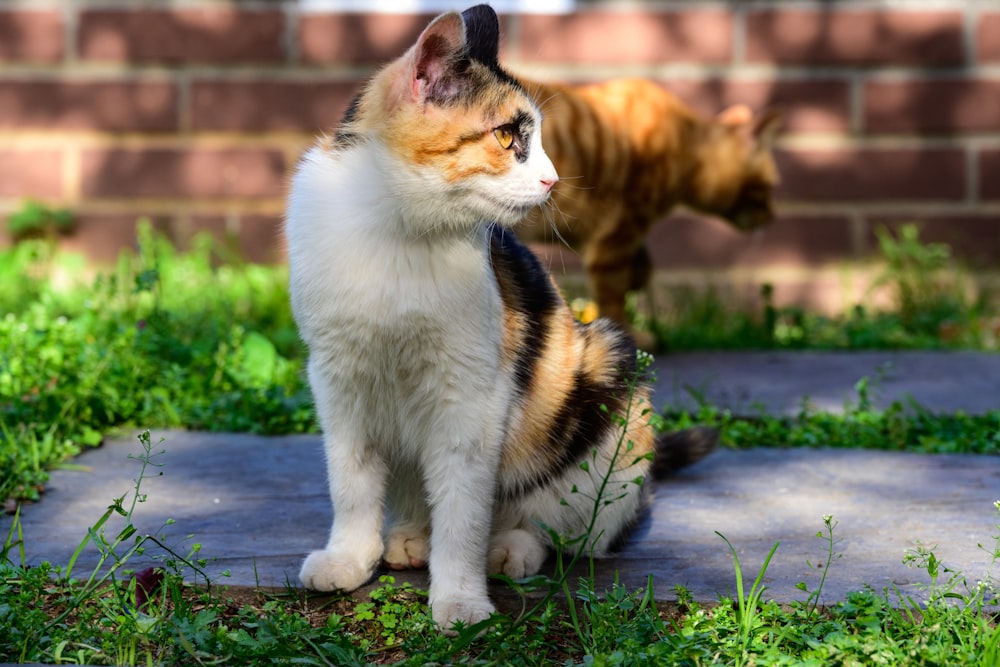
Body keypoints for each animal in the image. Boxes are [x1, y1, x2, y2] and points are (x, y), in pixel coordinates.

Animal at [286, 3, 716, 632]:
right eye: (508, 135)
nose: (553, 179)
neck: (398, 232)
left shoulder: (471, 395)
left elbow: (464, 511)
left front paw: (461, 600)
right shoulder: (338, 379)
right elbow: (352, 482)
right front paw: (349, 559)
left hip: (612, 371)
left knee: (570, 528)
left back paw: (510, 548)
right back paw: (411, 537)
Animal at [520, 77, 784, 350]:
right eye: (769, 188)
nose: (772, 217)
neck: (686, 142)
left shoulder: (592, 233)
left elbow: (642, 264)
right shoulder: (619, 233)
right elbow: (613, 295)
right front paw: (630, 336)